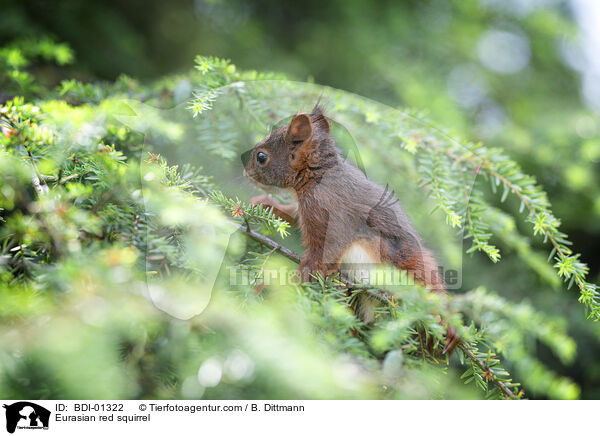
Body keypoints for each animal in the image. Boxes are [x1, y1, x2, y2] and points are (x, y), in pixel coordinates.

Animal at [240, 105, 454, 350]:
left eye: (261, 157)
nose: (246, 172)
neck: (317, 175)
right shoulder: (305, 210)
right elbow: (292, 215)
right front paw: (265, 204)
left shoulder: (329, 213)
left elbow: (326, 250)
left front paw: (302, 273)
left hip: (408, 265)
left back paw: (446, 325)